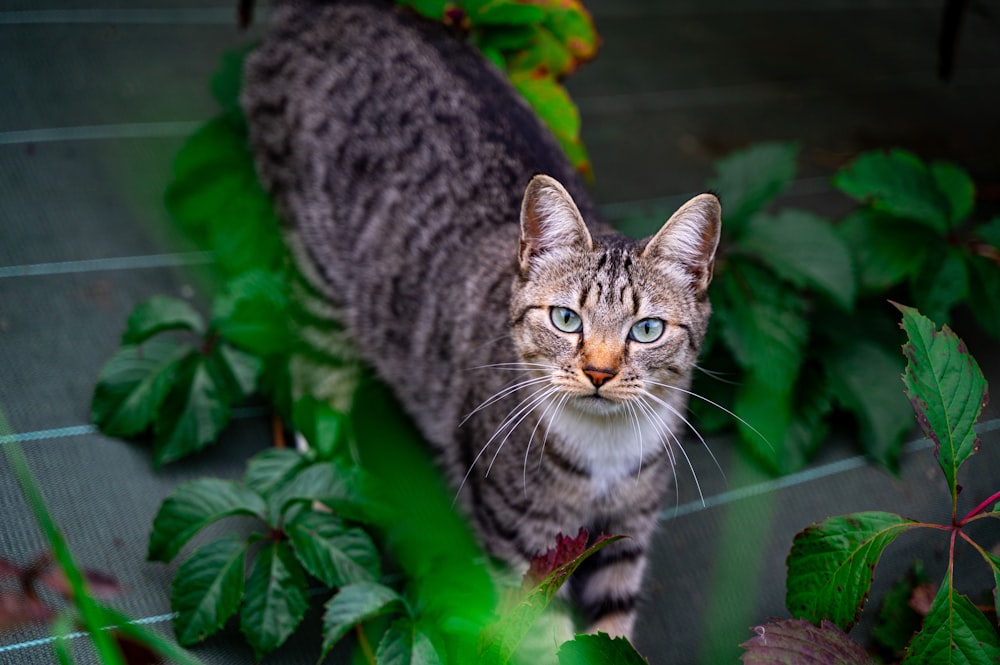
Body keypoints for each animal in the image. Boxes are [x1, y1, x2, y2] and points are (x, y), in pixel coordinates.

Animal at [241, 0, 720, 640]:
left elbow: (610, 632)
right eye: (566, 319)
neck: (604, 452)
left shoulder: (625, 536)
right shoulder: (520, 541)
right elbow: (542, 637)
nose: (598, 372)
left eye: (646, 330)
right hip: (316, 269)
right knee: (315, 386)